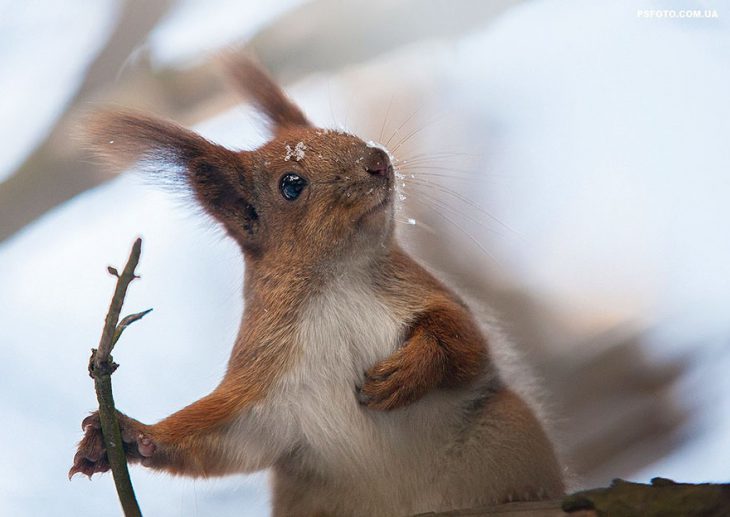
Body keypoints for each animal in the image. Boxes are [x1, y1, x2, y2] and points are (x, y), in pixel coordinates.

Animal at [69, 57, 564, 516]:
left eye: (344, 133)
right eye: (291, 185)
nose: (378, 161)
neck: (334, 280)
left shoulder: (424, 290)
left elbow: (466, 342)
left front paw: (408, 371)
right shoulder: (266, 374)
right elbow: (228, 437)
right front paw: (130, 435)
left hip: (507, 430)